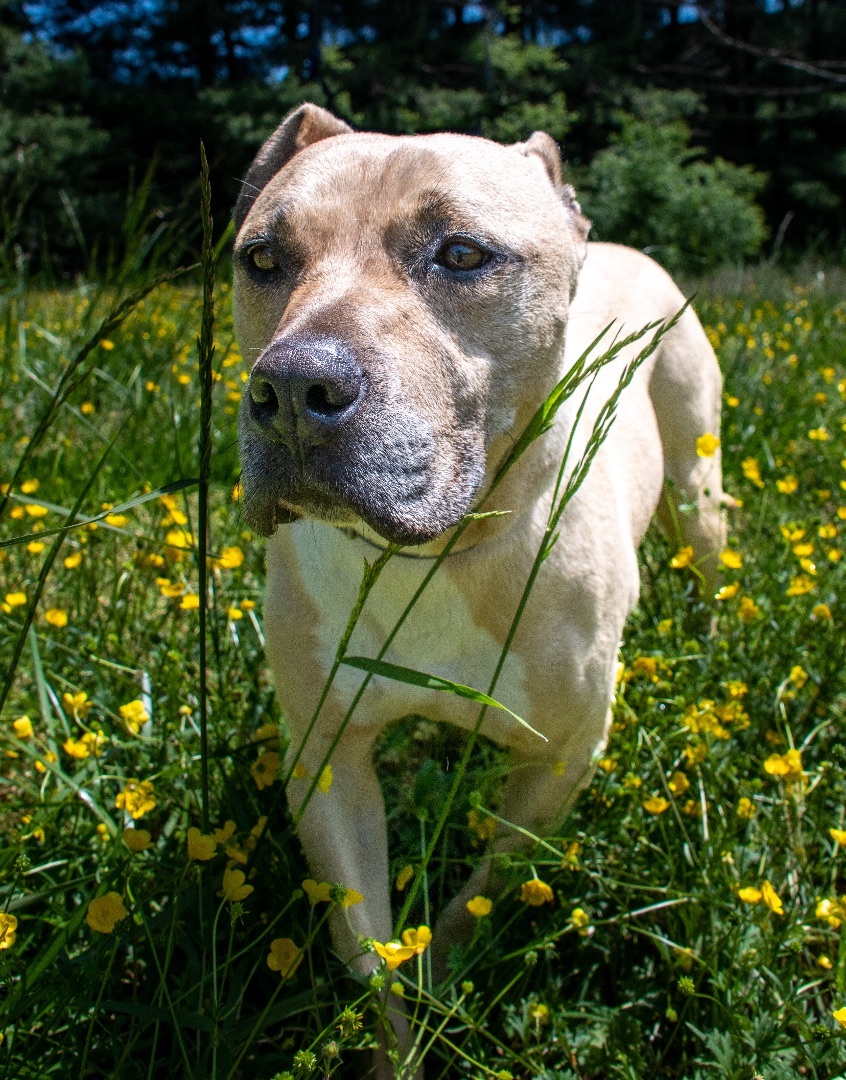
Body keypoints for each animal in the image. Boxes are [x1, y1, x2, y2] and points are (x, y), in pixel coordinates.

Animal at [230, 101, 726, 1071]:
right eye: (262, 258)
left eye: (462, 254)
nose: (294, 386)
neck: (437, 556)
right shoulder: (326, 760)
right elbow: (369, 953)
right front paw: (397, 1042)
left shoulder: (561, 758)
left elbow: (479, 895)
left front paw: (440, 979)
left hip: (699, 472)